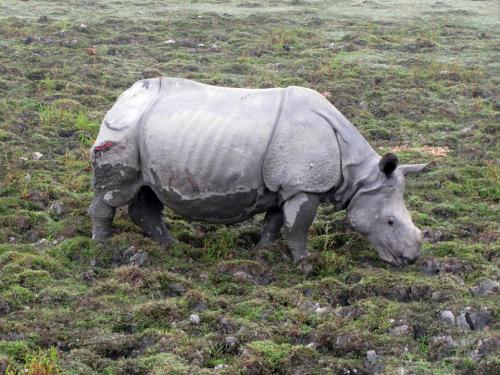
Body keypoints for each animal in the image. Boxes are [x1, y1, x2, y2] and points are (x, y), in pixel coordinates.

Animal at [89, 78, 430, 268]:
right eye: (390, 221)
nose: (411, 259)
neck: (357, 173)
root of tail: (122, 97)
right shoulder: (303, 186)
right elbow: (298, 226)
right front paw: (305, 264)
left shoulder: (285, 187)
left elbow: (276, 221)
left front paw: (262, 252)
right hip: (125, 131)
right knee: (114, 193)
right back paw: (103, 248)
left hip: (149, 133)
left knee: (148, 191)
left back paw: (170, 246)